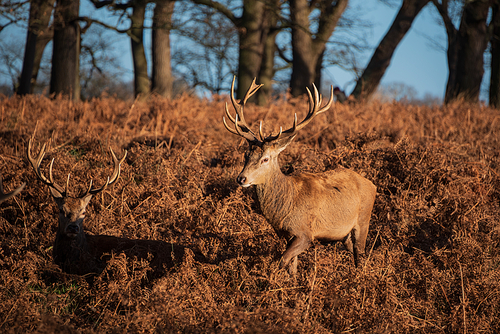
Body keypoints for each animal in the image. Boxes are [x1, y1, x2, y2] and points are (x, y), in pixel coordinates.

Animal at [225, 77, 376, 274]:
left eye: (265, 159)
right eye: (246, 155)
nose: (241, 178)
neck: (285, 207)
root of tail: (372, 184)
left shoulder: (305, 233)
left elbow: (282, 261)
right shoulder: (288, 235)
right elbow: (292, 267)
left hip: (364, 218)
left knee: (361, 253)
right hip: (344, 234)